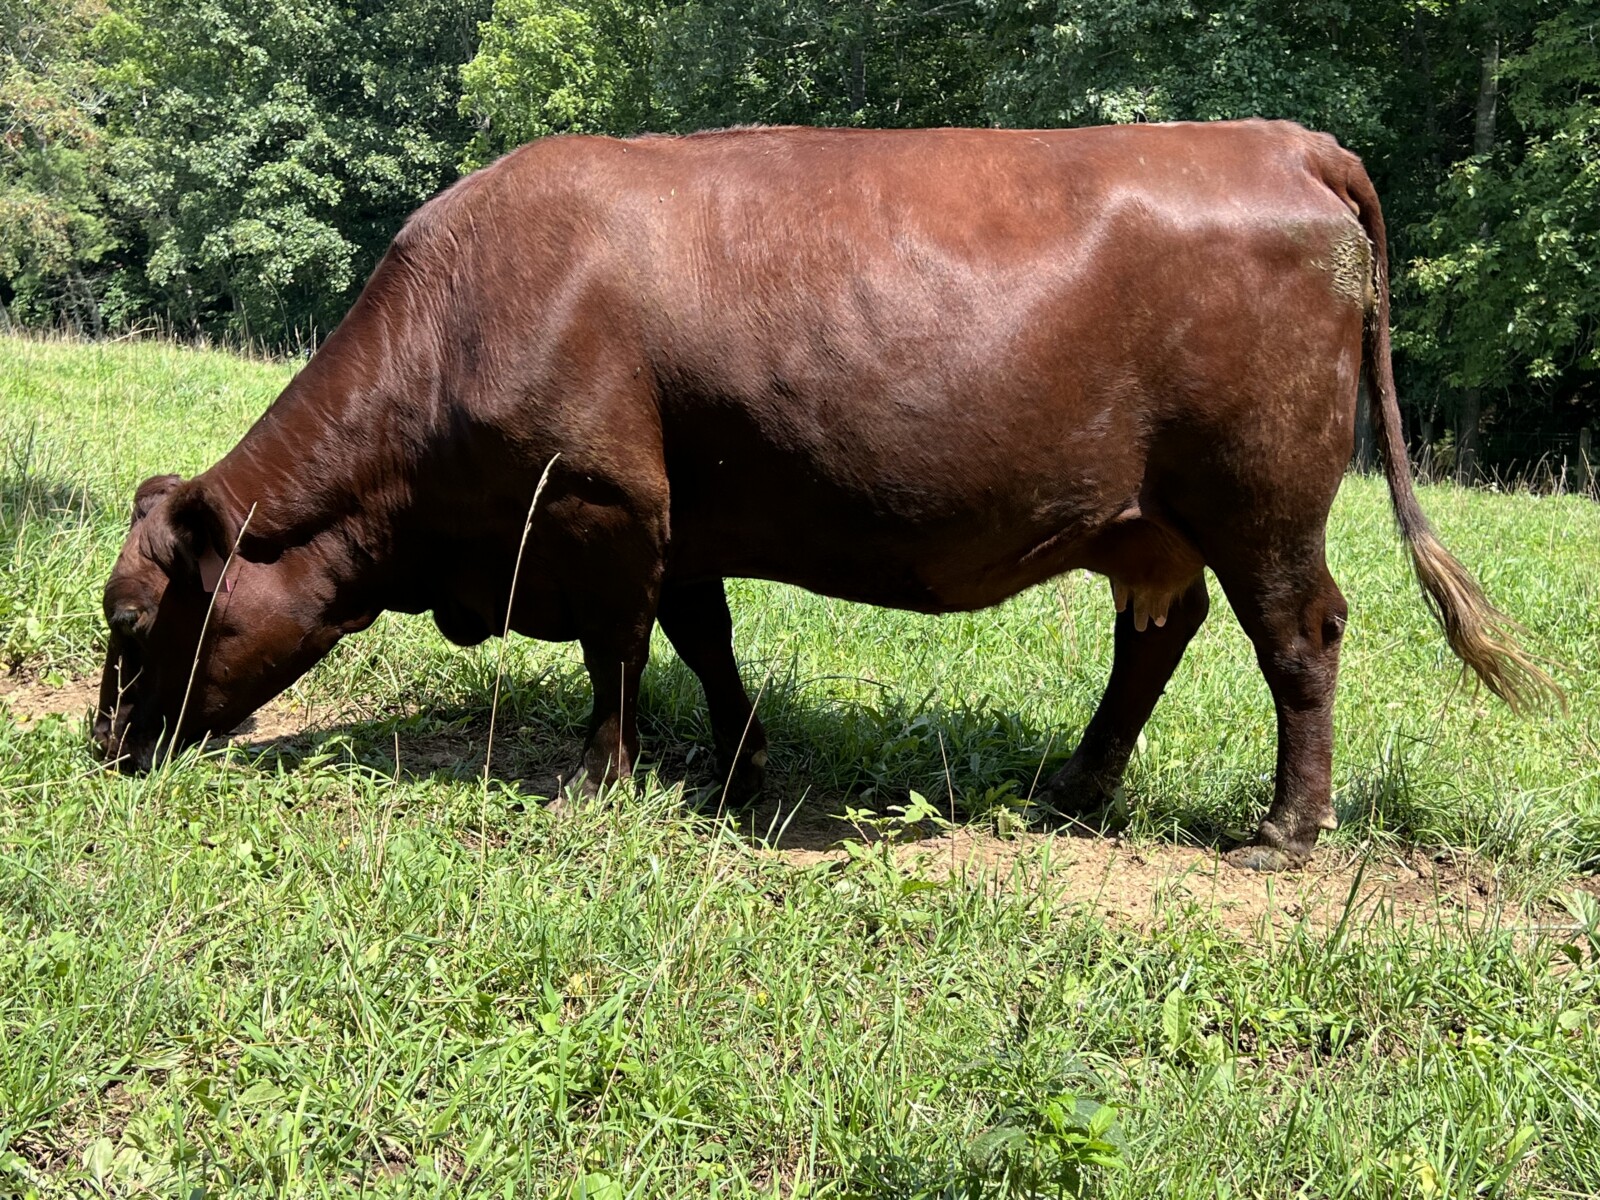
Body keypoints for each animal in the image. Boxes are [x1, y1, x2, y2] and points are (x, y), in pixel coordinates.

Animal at [94, 121, 1555, 870]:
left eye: (129, 617)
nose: (104, 748)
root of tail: (1283, 144)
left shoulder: (600, 505)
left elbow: (616, 655)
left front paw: (602, 780)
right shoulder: (677, 520)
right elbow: (704, 640)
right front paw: (737, 766)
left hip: (1261, 495)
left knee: (1298, 636)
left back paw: (1283, 829)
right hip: (1150, 518)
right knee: (1158, 632)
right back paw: (1077, 786)